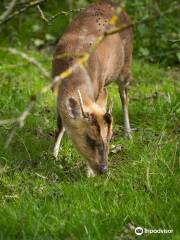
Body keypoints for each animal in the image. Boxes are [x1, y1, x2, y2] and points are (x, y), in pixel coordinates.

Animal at [51, 0, 133, 176]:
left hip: (126, 63)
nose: (103, 169)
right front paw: (53, 155)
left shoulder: (99, 86)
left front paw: (88, 173)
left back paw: (129, 134)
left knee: (124, 95)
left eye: (110, 137)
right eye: (90, 138)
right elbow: (60, 124)